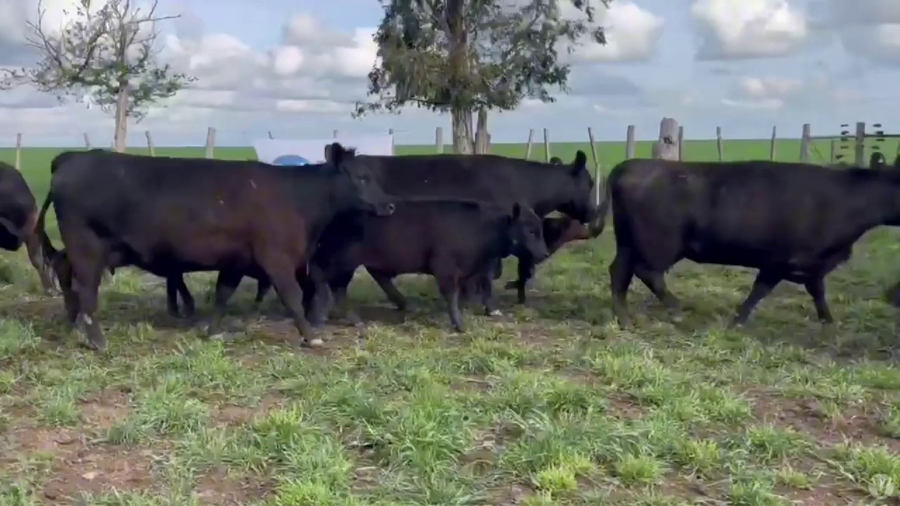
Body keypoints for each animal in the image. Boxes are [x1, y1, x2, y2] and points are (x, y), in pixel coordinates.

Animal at [36, 146, 395, 351]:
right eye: (361, 177)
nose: (390, 205)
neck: (298, 198)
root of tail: (70, 158)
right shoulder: (276, 258)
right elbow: (292, 297)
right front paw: (311, 336)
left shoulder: (236, 261)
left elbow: (223, 294)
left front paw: (212, 331)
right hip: (87, 246)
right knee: (86, 290)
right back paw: (97, 339)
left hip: (94, 249)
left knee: (65, 271)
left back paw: (74, 325)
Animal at [303, 200, 549, 332]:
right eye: (529, 229)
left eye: (539, 228)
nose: (544, 253)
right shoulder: (445, 267)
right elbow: (452, 294)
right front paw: (459, 324)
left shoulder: (477, 267)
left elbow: (484, 285)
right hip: (338, 259)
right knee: (319, 275)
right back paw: (318, 316)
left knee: (344, 287)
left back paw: (355, 319)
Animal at [605, 157, 900, 329]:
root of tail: (632, 164)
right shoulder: (779, 260)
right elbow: (760, 290)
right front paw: (737, 322)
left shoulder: (811, 264)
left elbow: (817, 291)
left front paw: (828, 321)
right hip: (659, 243)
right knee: (646, 272)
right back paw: (675, 310)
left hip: (628, 243)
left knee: (619, 273)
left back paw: (625, 321)